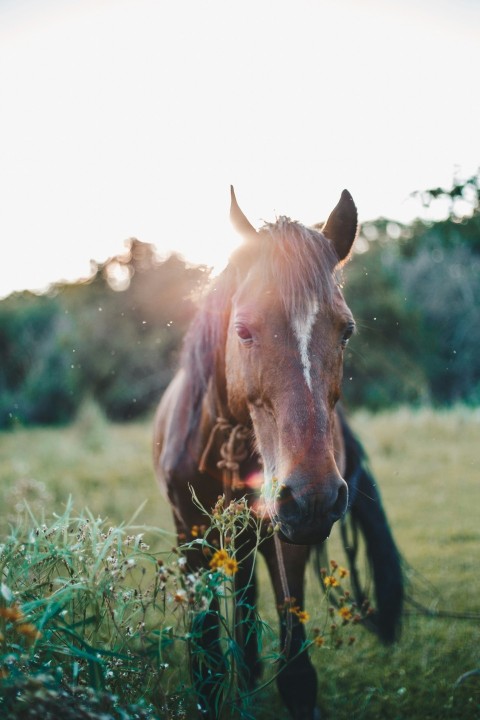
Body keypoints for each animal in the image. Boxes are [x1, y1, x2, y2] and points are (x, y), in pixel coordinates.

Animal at [153, 187, 403, 719]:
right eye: (243, 330)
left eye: (347, 330)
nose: (313, 496)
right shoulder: (190, 538)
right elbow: (207, 669)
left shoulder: (287, 540)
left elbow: (297, 674)